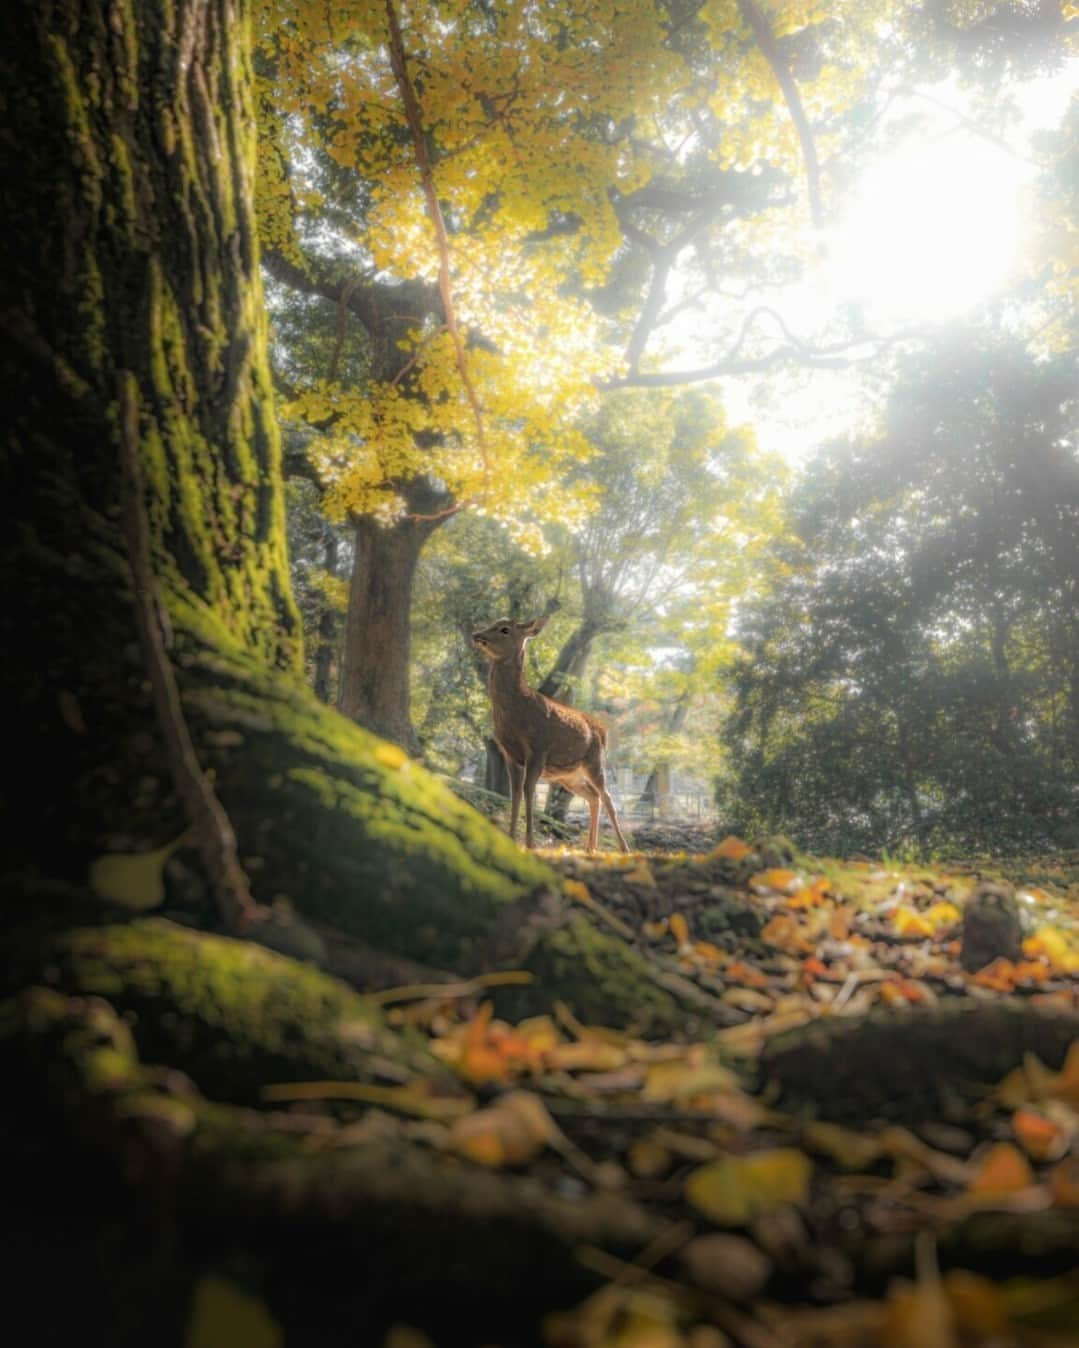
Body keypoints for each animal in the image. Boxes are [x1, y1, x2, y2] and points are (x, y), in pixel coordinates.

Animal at [472, 614, 631, 851]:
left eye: (505, 629)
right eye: (493, 623)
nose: (476, 635)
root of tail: (603, 731)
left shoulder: (539, 748)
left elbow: (528, 790)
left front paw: (530, 843)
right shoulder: (510, 754)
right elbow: (515, 794)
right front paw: (511, 839)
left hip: (594, 761)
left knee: (607, 796)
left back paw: (623, 848)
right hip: (568, 775)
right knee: (593, 796)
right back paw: (590, 848)